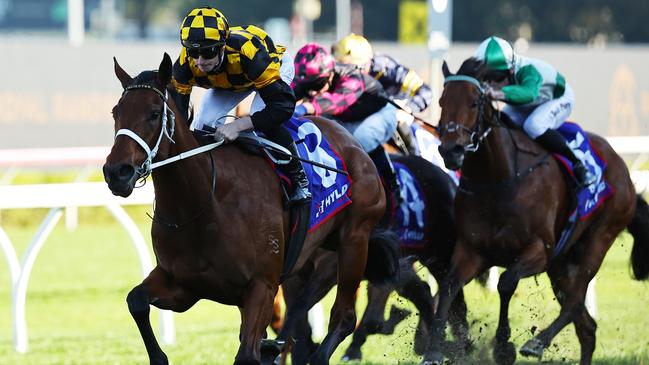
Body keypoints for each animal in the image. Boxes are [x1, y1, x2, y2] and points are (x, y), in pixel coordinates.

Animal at [102, 52, 398, 362]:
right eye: (116, 112)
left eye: (153, 114)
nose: (117, 172)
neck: (204, 203)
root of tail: (353, 144)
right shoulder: (183, 285)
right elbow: (135, 300)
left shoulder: (262, 286)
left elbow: (246, 354)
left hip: (354, 240)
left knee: (344, 317)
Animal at [276, 154, 474, 364]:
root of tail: (447, 178)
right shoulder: (292, 271)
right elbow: (297, 317)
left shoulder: (332, 264)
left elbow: (300, 305)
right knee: (423, 291)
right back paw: (431, 343)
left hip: (441, 254)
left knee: (453, 295)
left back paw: (454, 345)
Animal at [418, 57, 648, 364]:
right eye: (442, 101)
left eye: (474, 102)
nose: (450, 150)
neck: (498, 179)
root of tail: (623, 170)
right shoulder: (472, 251)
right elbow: (448, 286)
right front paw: (432, 347)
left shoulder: (539, 250)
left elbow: (506, 282)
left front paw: (504, 346)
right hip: (561, 264)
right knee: (587, 327)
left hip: (599, 239)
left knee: (574, 302)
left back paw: (537, 342)